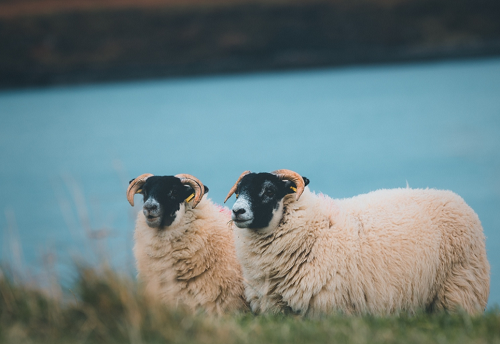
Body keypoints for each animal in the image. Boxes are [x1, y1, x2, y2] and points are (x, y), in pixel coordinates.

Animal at [225, 169, 490, 318]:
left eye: (269, 191)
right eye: (238, 192)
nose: (237, 211)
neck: (314, 230)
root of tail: (454, 197)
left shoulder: (330, 307)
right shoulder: (277, 309)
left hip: (459, 289)